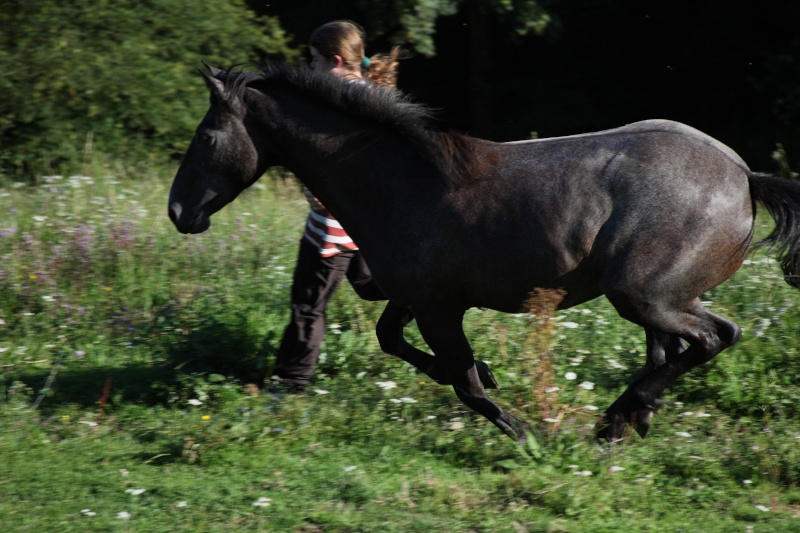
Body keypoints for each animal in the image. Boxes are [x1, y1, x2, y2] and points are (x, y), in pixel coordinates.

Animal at [169, 61, 800, 440]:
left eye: (206, 135)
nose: (178, 211)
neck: (402, 181)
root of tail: (745, 177)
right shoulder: (419, 298)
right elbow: (394, 341)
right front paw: (494, 376)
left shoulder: (439, 310)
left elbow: (462, 382)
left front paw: (522, 436)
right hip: (655, 300)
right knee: (667, 353)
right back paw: (627, 421)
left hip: (644, 295)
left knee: (716, 337)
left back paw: (616, 418)